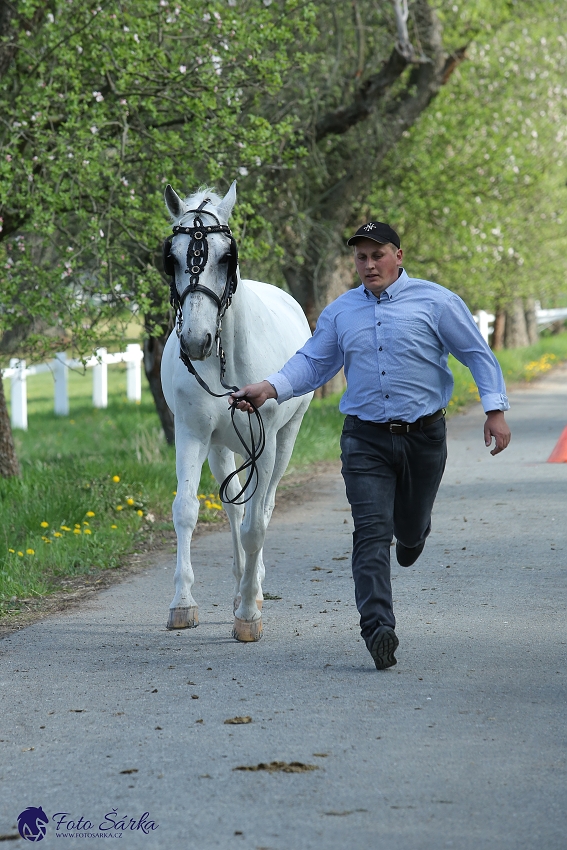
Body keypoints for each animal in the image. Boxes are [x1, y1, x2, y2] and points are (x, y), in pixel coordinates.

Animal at [160, 182, 312, 640]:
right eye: (171, 258)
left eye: (227, 256)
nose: (195, 341)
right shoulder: (191, 435)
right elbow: (186, 511)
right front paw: (183, 603)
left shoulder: (265, 440)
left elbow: (257, 525)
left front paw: (248, 612)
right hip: (221, 446)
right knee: (235, 509)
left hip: (282, 441)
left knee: (264, 507)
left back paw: (254, 587)